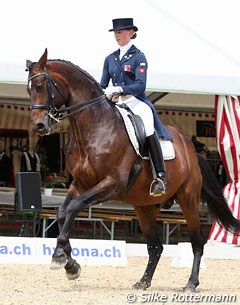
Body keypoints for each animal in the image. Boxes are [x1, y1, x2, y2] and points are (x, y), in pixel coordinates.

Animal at [25, 49, 240, 290]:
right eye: (28, 89)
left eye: (40, 86)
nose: (39, 126)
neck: (95, 128)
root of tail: (191, 149)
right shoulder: (80, 184)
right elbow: (63, 212)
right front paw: (71, 264)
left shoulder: (112, 185)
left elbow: (73, 208)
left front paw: (60, 257)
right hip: (144, 206)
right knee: (155, 247)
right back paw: (143, 282)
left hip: (188, 199)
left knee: (197, 242)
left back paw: (191, 283)